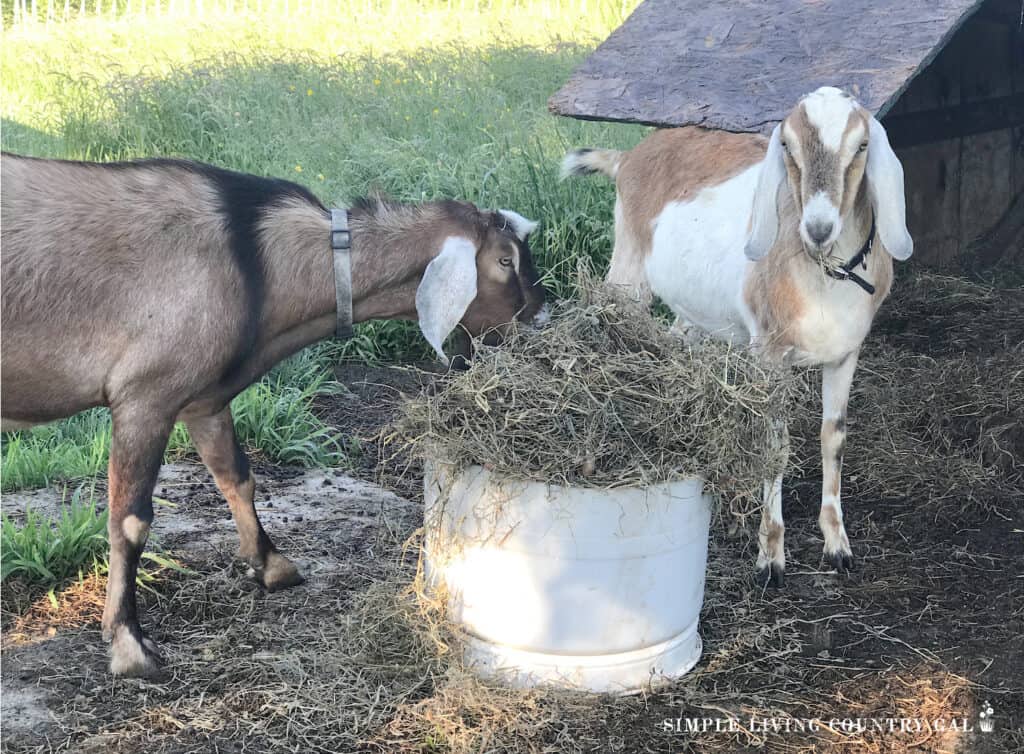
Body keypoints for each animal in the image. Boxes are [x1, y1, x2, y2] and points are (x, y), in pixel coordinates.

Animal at [2, 154, 544, 676]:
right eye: (504, 260)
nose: (542, 318)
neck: (255, 260)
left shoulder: (205, 400)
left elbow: (237, 477)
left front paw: (272, 565)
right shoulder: (145, 395)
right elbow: (130, 521)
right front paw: (130, 646)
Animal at [569, 87, 913, 590]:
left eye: (862, 145)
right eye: (787, 144)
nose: (818, 228)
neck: (825, 275)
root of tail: (629, 156)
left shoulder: (847, 353)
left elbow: (833, 437)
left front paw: (838, 546)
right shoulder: (769, 354)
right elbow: (775, 446)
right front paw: (770, 556)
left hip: (693, 311)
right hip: (627, 274)